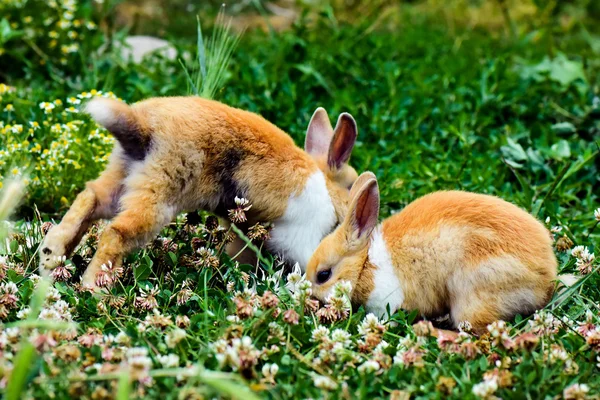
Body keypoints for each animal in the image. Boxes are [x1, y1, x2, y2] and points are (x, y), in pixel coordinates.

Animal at [39, 97, 358, 290]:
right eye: (353, 184)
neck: (327, 189)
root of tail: (143, 125)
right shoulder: (300, 238)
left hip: (122, 177)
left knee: (90, 198)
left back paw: (50, 256)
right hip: (159, 194)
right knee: (117, 232)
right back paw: (94, 288)